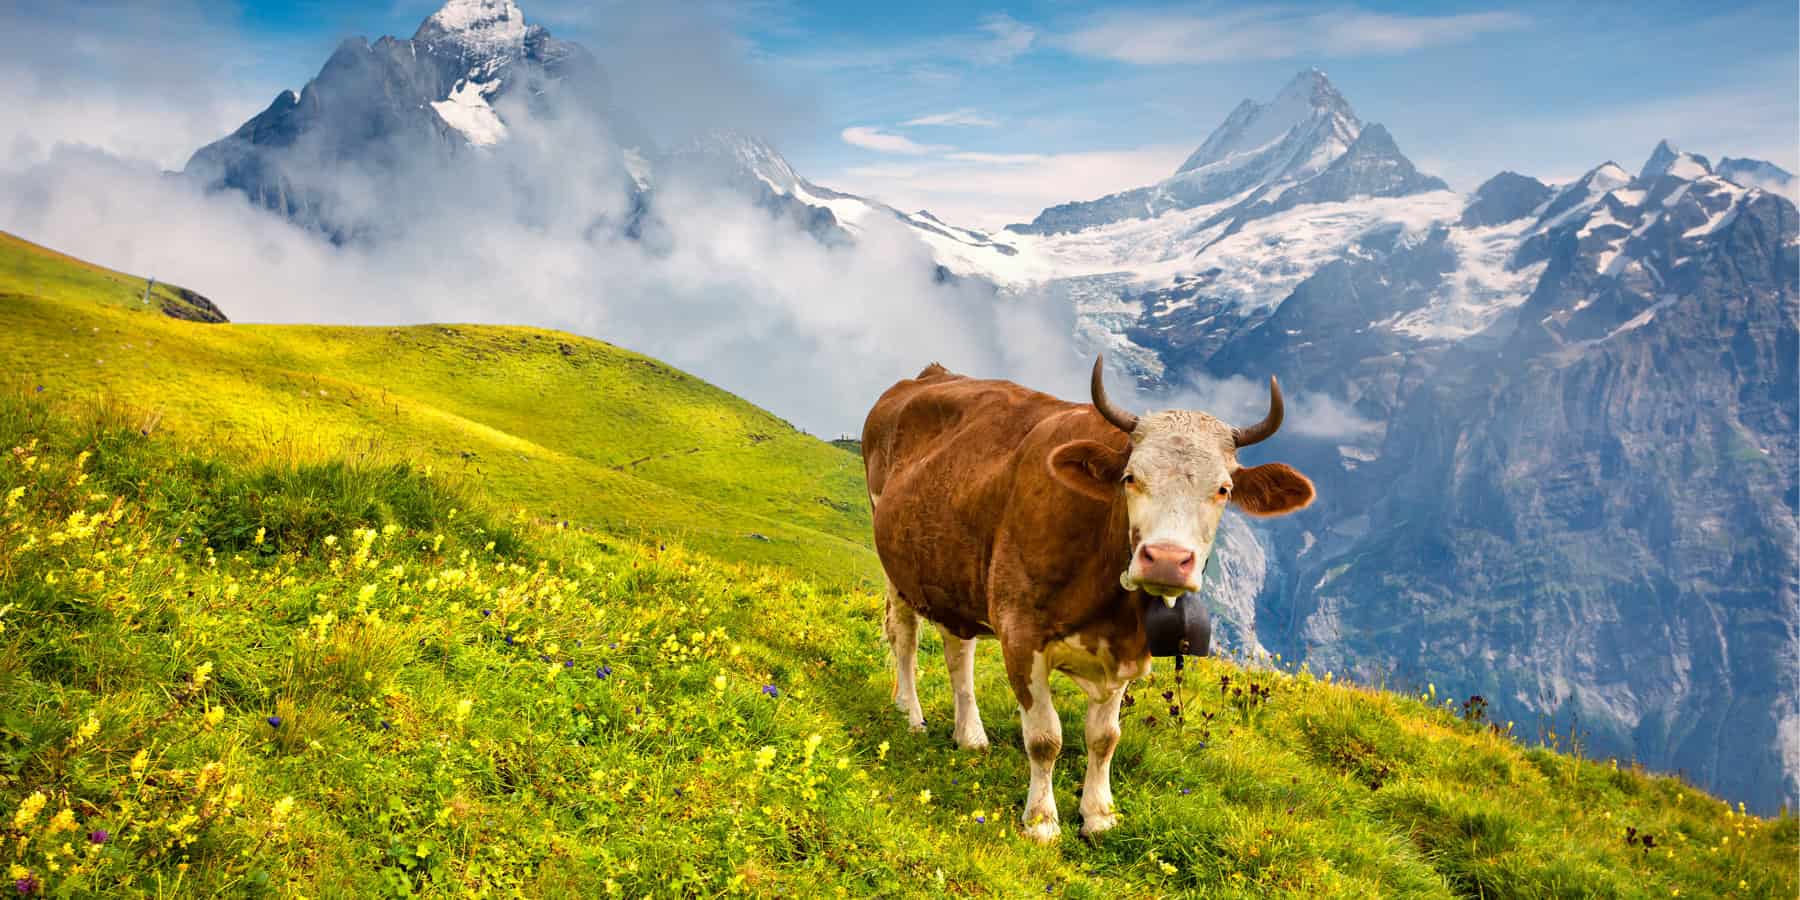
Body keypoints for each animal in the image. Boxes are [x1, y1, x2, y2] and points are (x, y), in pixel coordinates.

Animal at [861, 356, 1315, 842]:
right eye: (1130, 478)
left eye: (1224, 489)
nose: (1167, 560)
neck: (1110, 609)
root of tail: (930, 374)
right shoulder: (1020, 632)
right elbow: (1045, 738)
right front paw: (1041, 821)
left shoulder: (1127, 651)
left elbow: (1105, 737)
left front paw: (1099, 815)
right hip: (896, 565)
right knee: (905, 638)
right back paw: (911, 714)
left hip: (950, 571)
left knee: (957, 650)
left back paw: (970, 735)